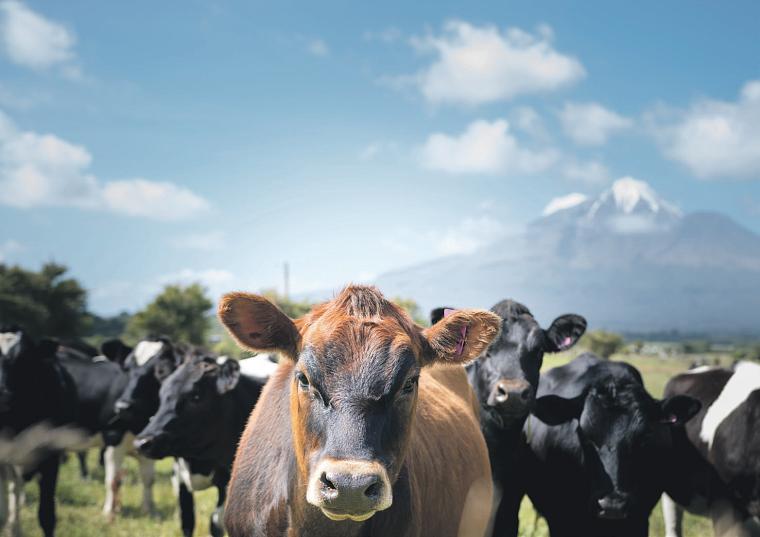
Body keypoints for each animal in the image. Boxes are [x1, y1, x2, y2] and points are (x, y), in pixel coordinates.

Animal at [134, 353, 275, 537]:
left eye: (196, 397)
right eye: (162, 396)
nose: (143, 442)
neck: (198, 460)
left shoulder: (228, 481)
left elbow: (216, 523)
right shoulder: (180, 478)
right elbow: (187, 521)